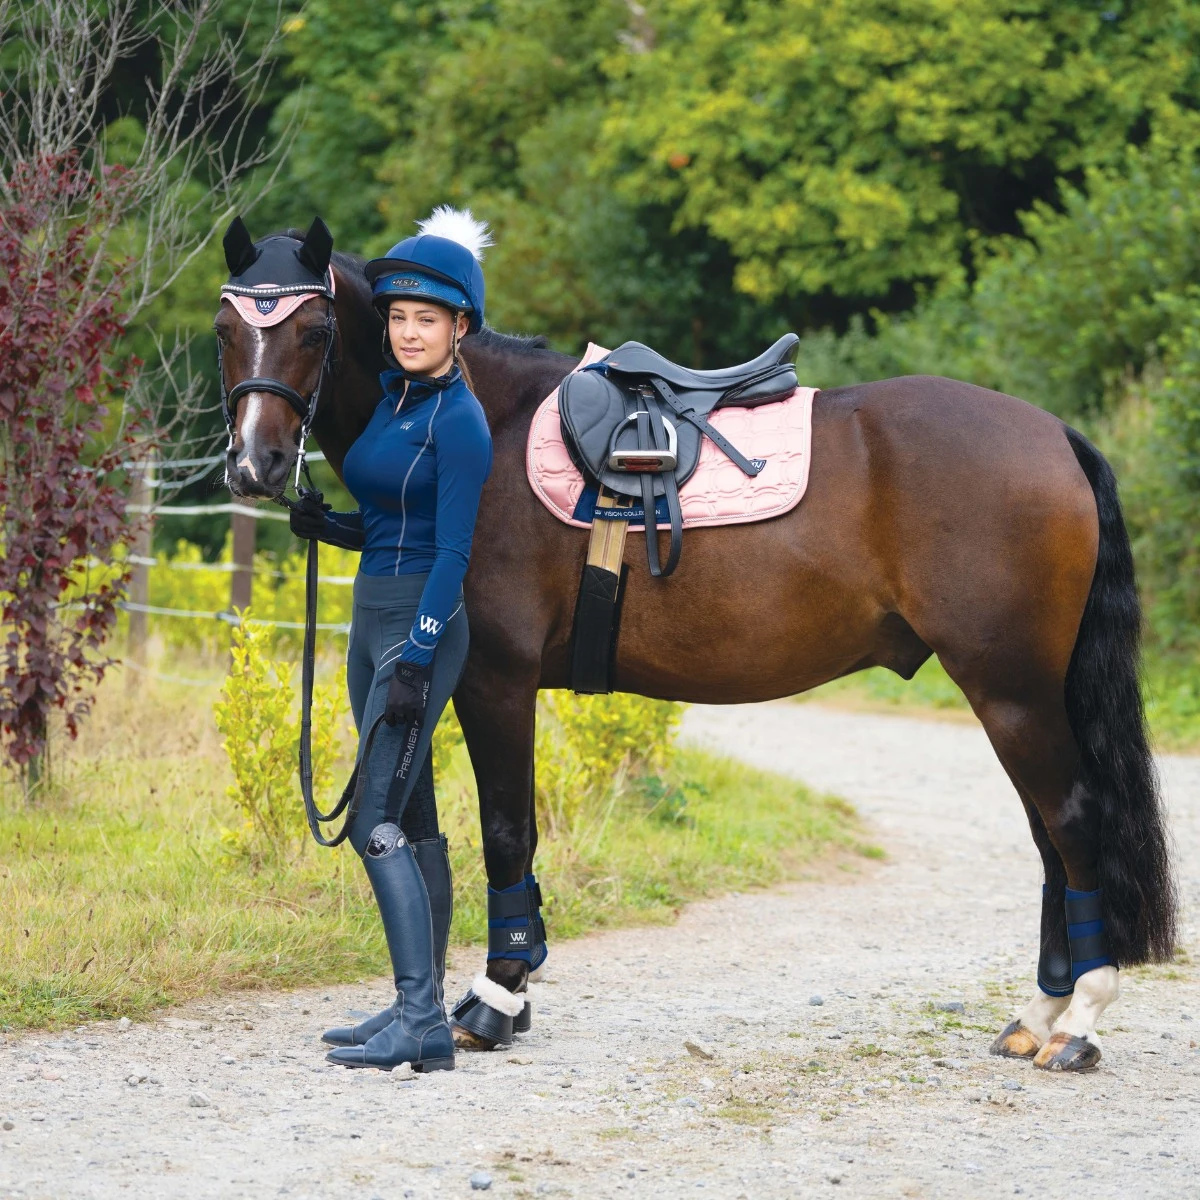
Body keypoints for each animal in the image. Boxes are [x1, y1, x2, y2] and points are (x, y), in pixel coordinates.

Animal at [214, 233, 1177, 1072]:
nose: (255, 465)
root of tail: (1054, 435)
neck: (478, 419)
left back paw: (1078, 1022)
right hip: (1020, 694)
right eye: (226, 328)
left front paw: (497, 999)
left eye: (313, 329)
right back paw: (1039, 1014)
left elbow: (505, 833)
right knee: (1049, 834)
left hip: (1011, 689)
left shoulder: (496, 682)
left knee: (1071, 821)